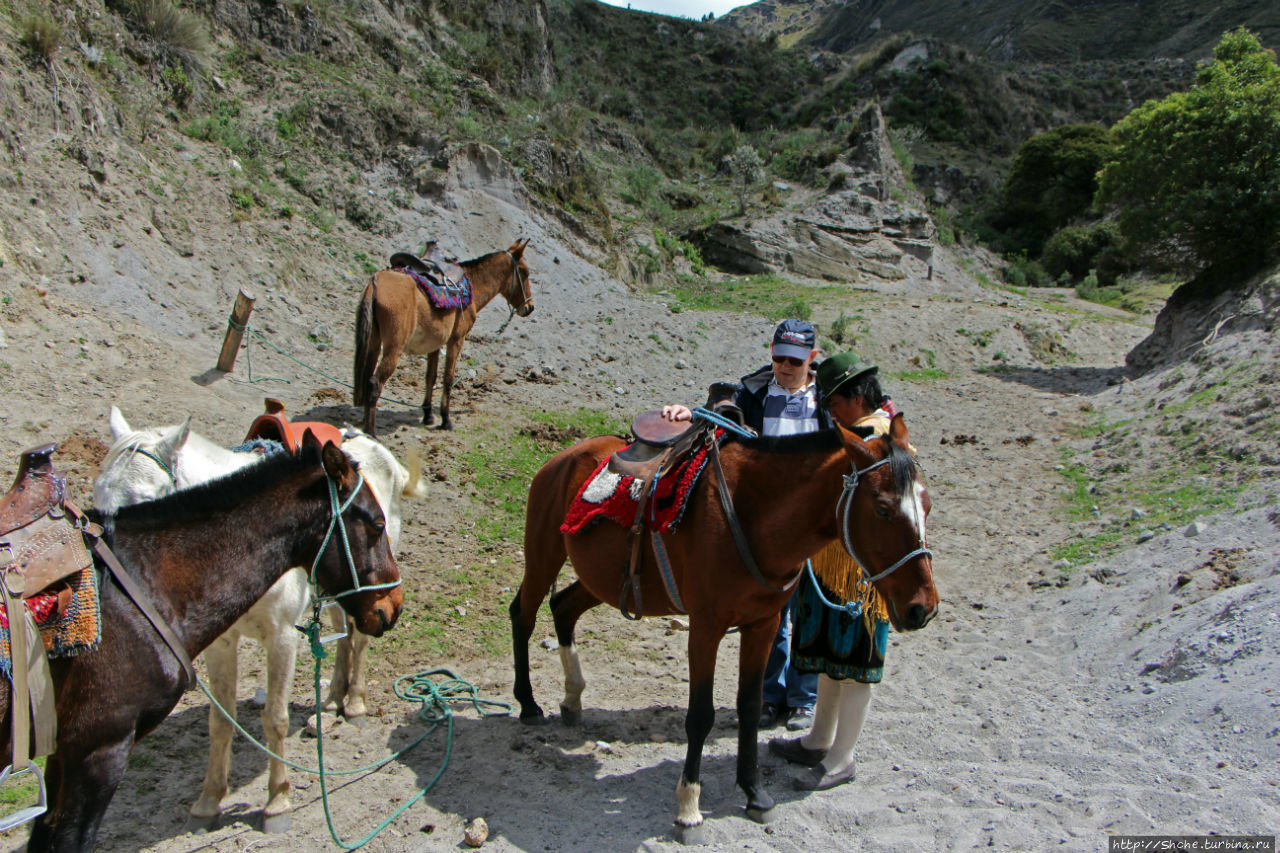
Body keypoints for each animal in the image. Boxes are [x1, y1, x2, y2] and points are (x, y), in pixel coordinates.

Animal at [92, 404, 430, 829]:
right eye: (97, 499)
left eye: (144, 503)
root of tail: (381, 454)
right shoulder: (221, 642)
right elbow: (220, 721)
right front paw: (209, 799)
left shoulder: (282, 637)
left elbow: (275, 718)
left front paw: (277, 801)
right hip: (338, 589)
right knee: (344, 633)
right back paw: (329, 704)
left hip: (365, 590)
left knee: (360, 637)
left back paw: (353, 703)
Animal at [353, 239, 532, 438]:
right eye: (525, 272)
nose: (529, 307)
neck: (472, 286)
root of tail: (376, 281)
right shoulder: (456, 340)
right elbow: (448, 378)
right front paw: (446, 420)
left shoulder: (434, 345)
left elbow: (430, 377)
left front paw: (428, 415)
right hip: (393, 349)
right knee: (374, 383)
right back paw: (371, 433)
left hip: (374, 343)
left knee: (367, 378)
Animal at [512, 414, 942, 840]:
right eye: (883, 509)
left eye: (927, 505)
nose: (923, 607)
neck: (753, 517)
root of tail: (564, 457)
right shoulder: (705, 628)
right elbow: (700, 715)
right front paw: (688, 808)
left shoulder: (763, 625)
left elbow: (750, 707)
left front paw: (754, 794)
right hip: (544, 555)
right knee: (524, 614)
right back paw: (529, 704)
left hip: (600, 580)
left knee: (563, 609)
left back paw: (572, 698)